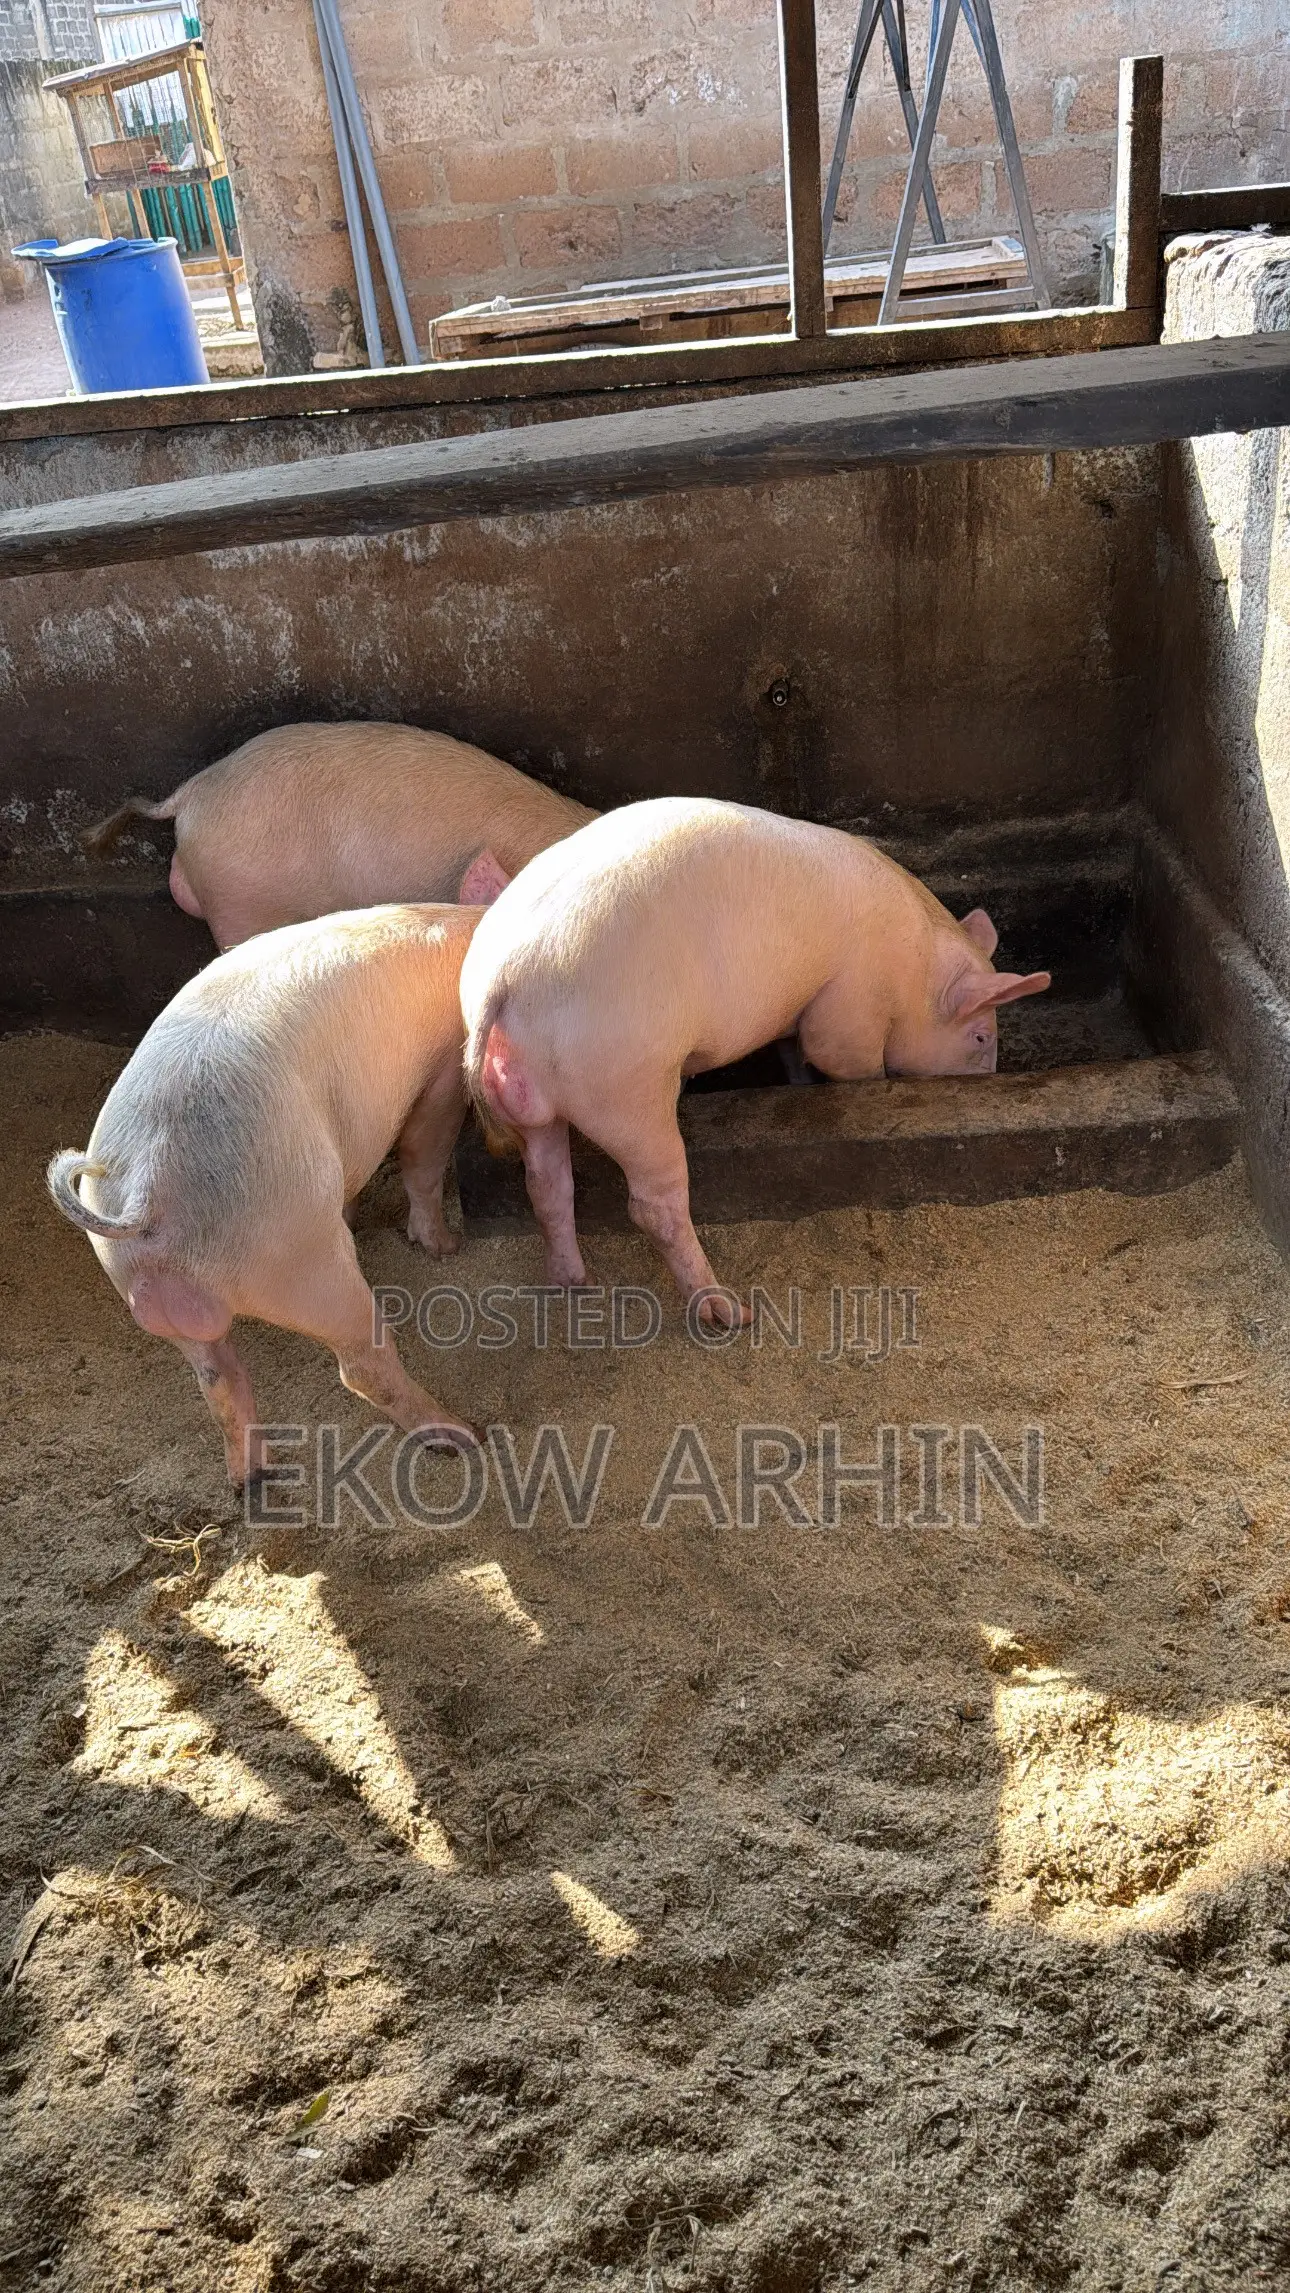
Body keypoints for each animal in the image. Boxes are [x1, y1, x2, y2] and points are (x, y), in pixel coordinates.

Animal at [48, 904, 482, 1483]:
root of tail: (149, 1186)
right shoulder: (443, 1068)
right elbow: (424, 1152)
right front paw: (447, 1247)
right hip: (303, 1256)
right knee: (361, 1364)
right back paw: (463, 1434)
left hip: (145, 1286)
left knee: (218, 1378)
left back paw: (249, 1479)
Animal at [461, 798, 1050, 1325]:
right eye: (980, 1036)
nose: (990, 1078)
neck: (916, 973)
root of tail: (504, 976)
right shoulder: (850, 1003)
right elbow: (838, 1052)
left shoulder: (794, 1013)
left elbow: (793, 1051)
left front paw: (798, 1083)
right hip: (624, 1086)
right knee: (653, 1205)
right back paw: (730, 1313)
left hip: (538, 1096)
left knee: (545, 1183)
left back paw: (575, 1284)